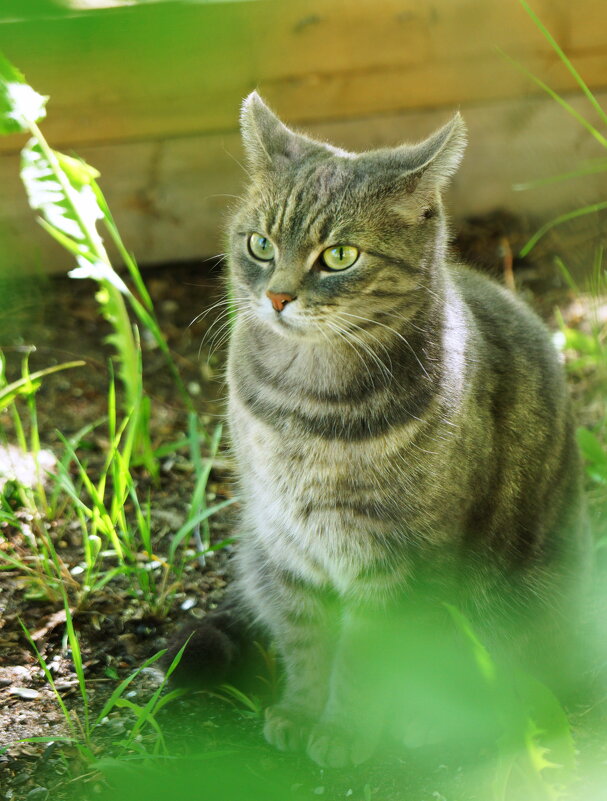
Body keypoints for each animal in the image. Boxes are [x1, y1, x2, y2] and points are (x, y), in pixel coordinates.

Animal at [183, 92, 592, 768]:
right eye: (261, 244)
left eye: (339, 256)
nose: (277, 297)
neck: (303, 406)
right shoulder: (285, 545)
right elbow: (307, 642)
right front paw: (301, 711)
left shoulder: (391, 560)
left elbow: (365, 660)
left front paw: (343, 732)